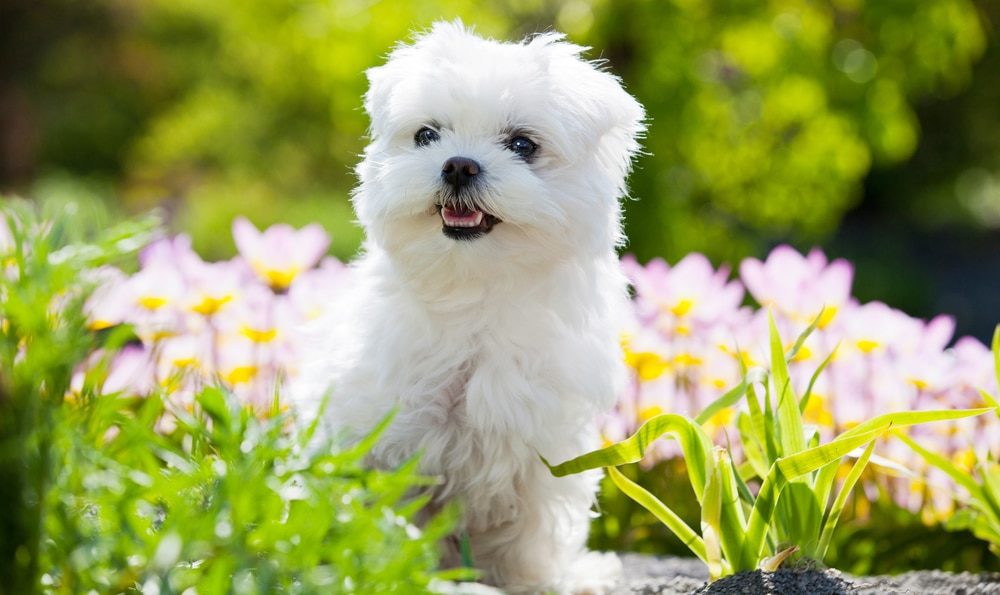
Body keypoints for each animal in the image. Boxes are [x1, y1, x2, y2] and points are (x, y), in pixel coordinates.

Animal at [292, 21, 644, 592]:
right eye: (426, 135)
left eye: (522, 144)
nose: (458, 165)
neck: (475, 287)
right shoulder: (391, 436)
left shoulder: (542, 440)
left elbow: (532, 526)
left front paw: (535, 581)